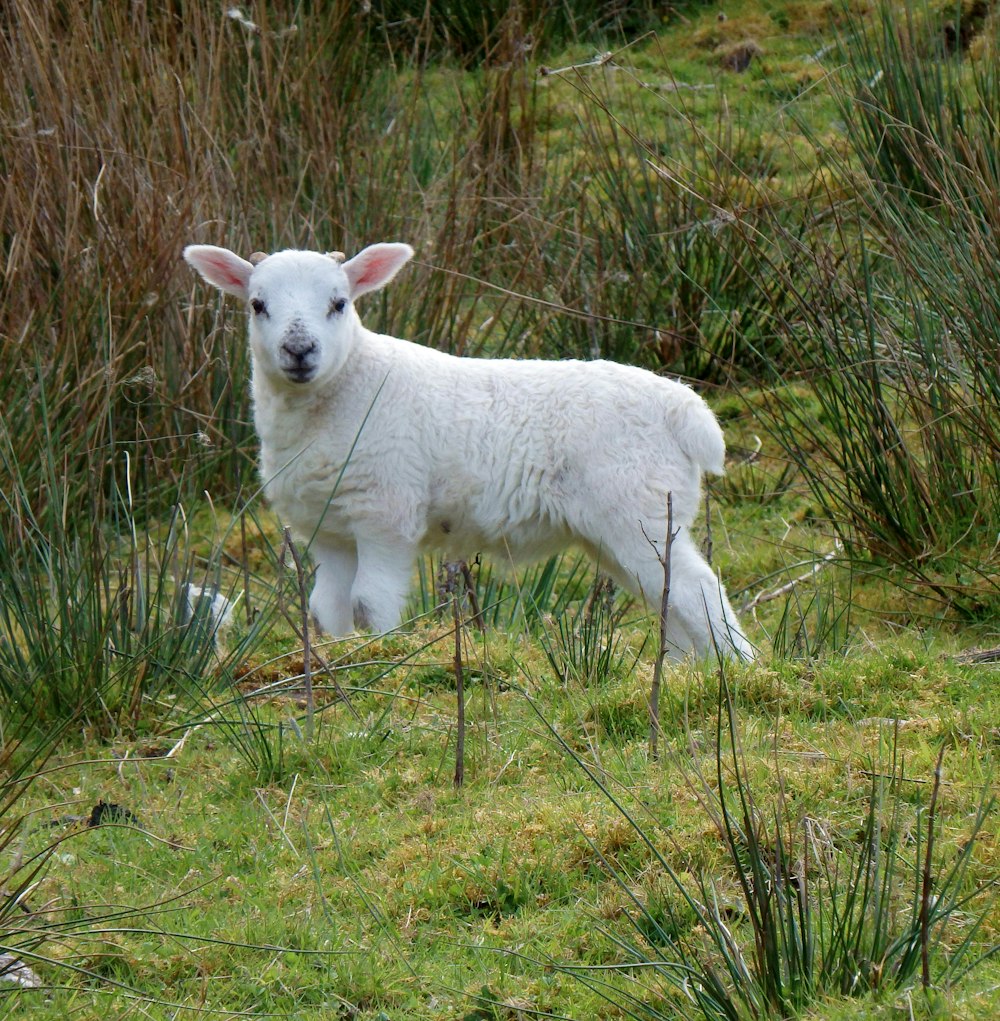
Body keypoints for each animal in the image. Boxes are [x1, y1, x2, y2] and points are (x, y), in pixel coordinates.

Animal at [183, 240, 755, 661]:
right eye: (257, 305)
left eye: (339, 303)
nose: (299, 351)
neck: (341, 392)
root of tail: (682, 406)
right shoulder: (329, 529)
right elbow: (329, 608)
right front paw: (344, 659)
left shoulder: (384, 514)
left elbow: (370, 602)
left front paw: (383, 654)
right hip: (616, 531)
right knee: (667, 600)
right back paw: (686, 673)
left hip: (640, 510)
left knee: (699, 592)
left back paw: (740, 670)